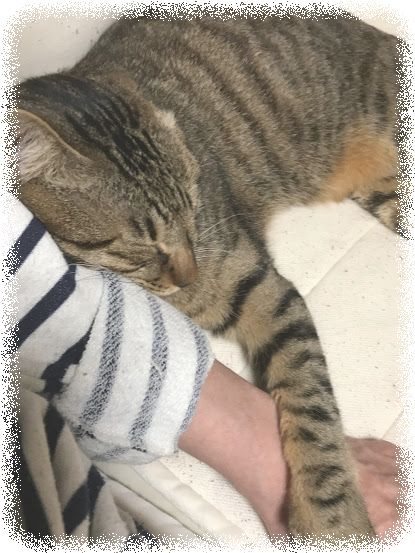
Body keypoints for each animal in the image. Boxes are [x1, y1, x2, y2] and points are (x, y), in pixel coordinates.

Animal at [15, 12, 403, 539]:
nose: (191, 274)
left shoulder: (265, 289)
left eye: (193, 208)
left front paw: (332, 519)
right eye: (144, 242)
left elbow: (311, 405)